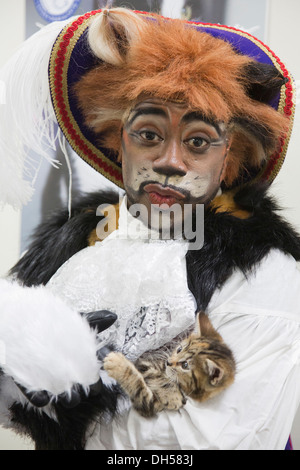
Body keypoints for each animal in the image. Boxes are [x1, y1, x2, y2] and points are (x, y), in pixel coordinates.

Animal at [104, 312, 236, 414]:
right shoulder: (146, 359)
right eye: (179, 349)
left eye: (185, 365)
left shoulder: (150, 405)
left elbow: (139, 390)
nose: (168, 362)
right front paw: (171, 394)